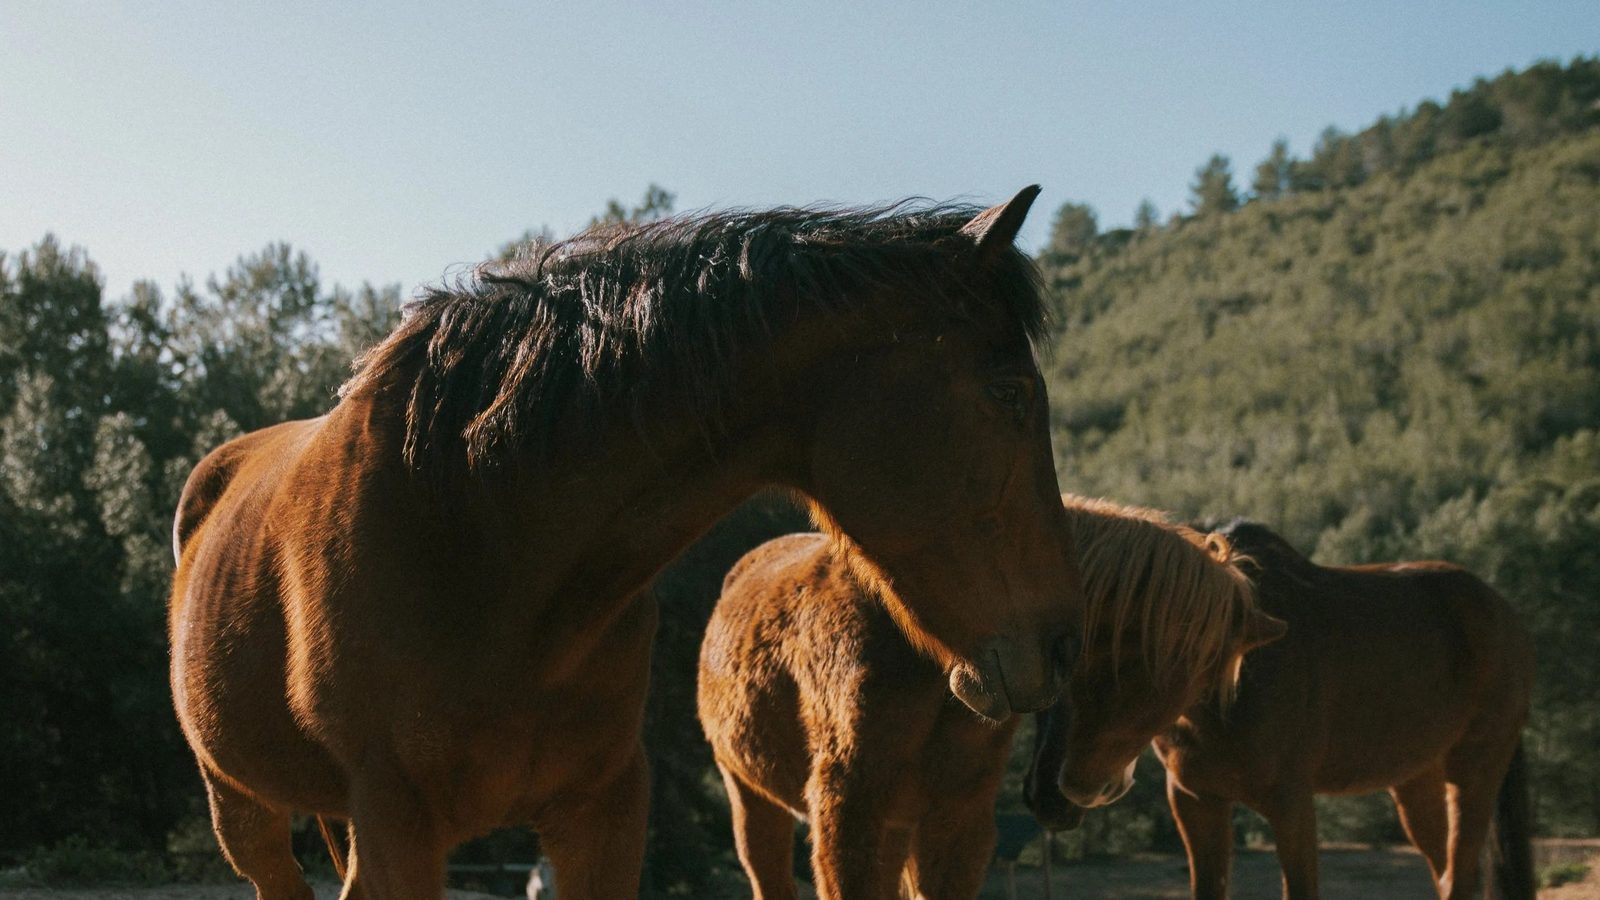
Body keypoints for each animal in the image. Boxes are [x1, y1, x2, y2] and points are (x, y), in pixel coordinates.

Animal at [167, 188, 1089, 900]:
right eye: (1008, 391)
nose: (1062, 649)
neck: (483, 536)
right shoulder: (397, 829)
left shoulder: (601, 816)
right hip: (244, 813)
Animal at [698, 495, 1284, 899]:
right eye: (1121, 660)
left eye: (1196, 688)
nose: (1083, 793)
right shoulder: (848, 816)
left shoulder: (956, 821)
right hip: (752, 798)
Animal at [1033, 519, 1536, 900]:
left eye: (1132, 658)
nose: (1056, 794)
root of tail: (1505, 612)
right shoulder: (1196, 801)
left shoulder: (1291, 804)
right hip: (1416, 780)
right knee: (1445, 871)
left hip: (1474, 772)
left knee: (1461, 876)